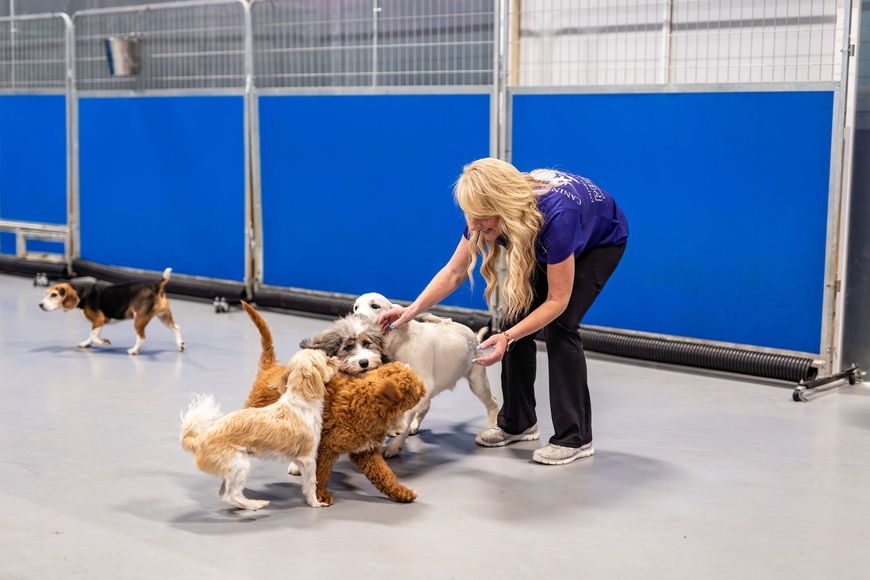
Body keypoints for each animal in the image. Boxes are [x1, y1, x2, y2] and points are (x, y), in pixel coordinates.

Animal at [181, 346, 338, 510]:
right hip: (240, 466)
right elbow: (311, 483)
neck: (300, 402)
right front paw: (315, 502)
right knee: (232, 496)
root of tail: (200, 440)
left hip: (231, 469)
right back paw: (255, 504)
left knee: (224, 493)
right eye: (326, 360)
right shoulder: (308, 458)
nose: (334, 359)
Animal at [352, 292, 498, 456]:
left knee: (493, 403)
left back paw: (492, 427)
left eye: (375, 306)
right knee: (425, 406)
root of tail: (471, 332)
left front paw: (393, 447)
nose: (355, 316)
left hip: (477, 382)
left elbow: (406, 414)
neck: (400, 339)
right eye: (356, 307)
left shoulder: (423, 384)